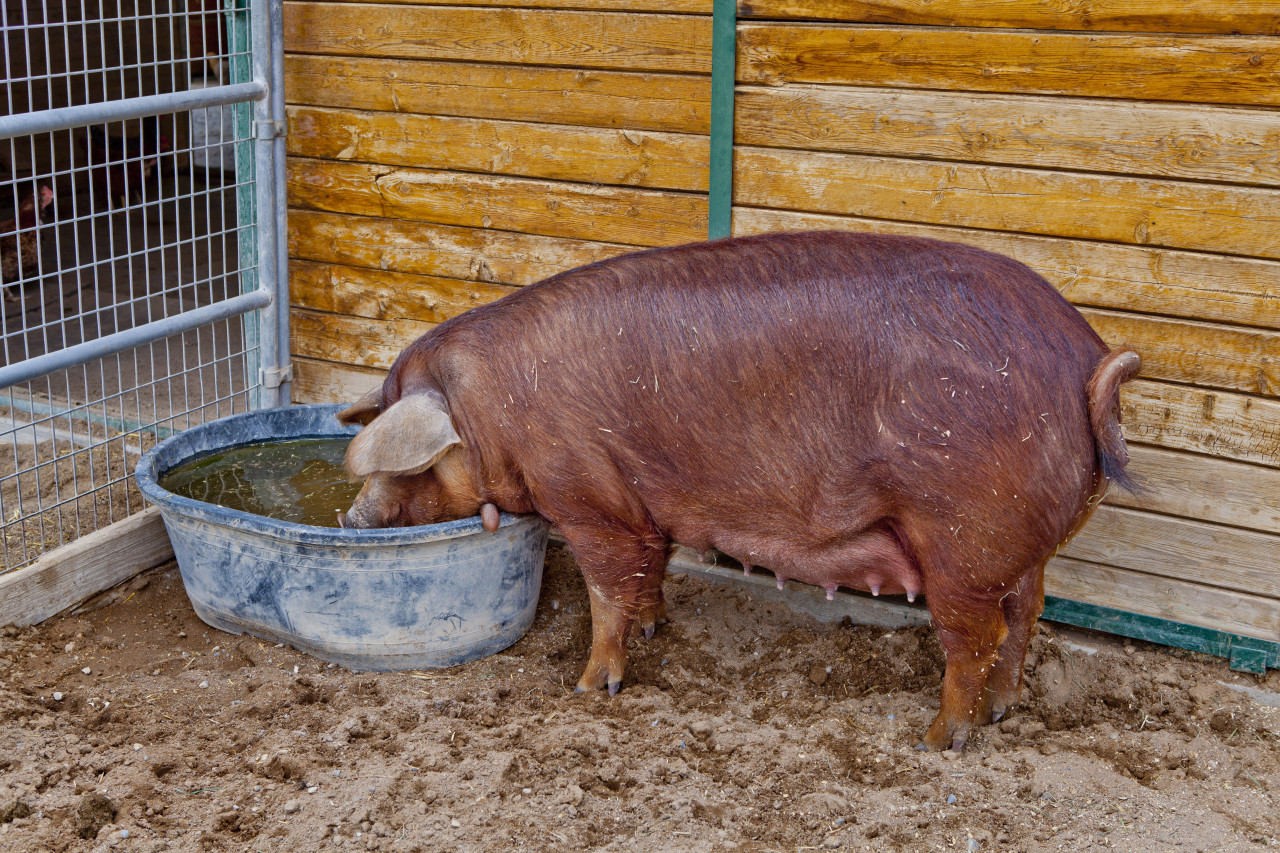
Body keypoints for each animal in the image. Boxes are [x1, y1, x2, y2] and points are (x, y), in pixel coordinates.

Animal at [337, 229, 1141, 747]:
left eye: (401, 465)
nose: (349, 518)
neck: (489, 414)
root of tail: (1087, 360)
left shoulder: (589, 499)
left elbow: (606, 590)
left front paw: (589, 689)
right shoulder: (647, 502)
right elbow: (650, 571)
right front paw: (656, 628)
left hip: (963, 539)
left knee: (977, 639)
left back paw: (938, 740)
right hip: (1016, 546)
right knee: (1027, 614)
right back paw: (1004, 712)